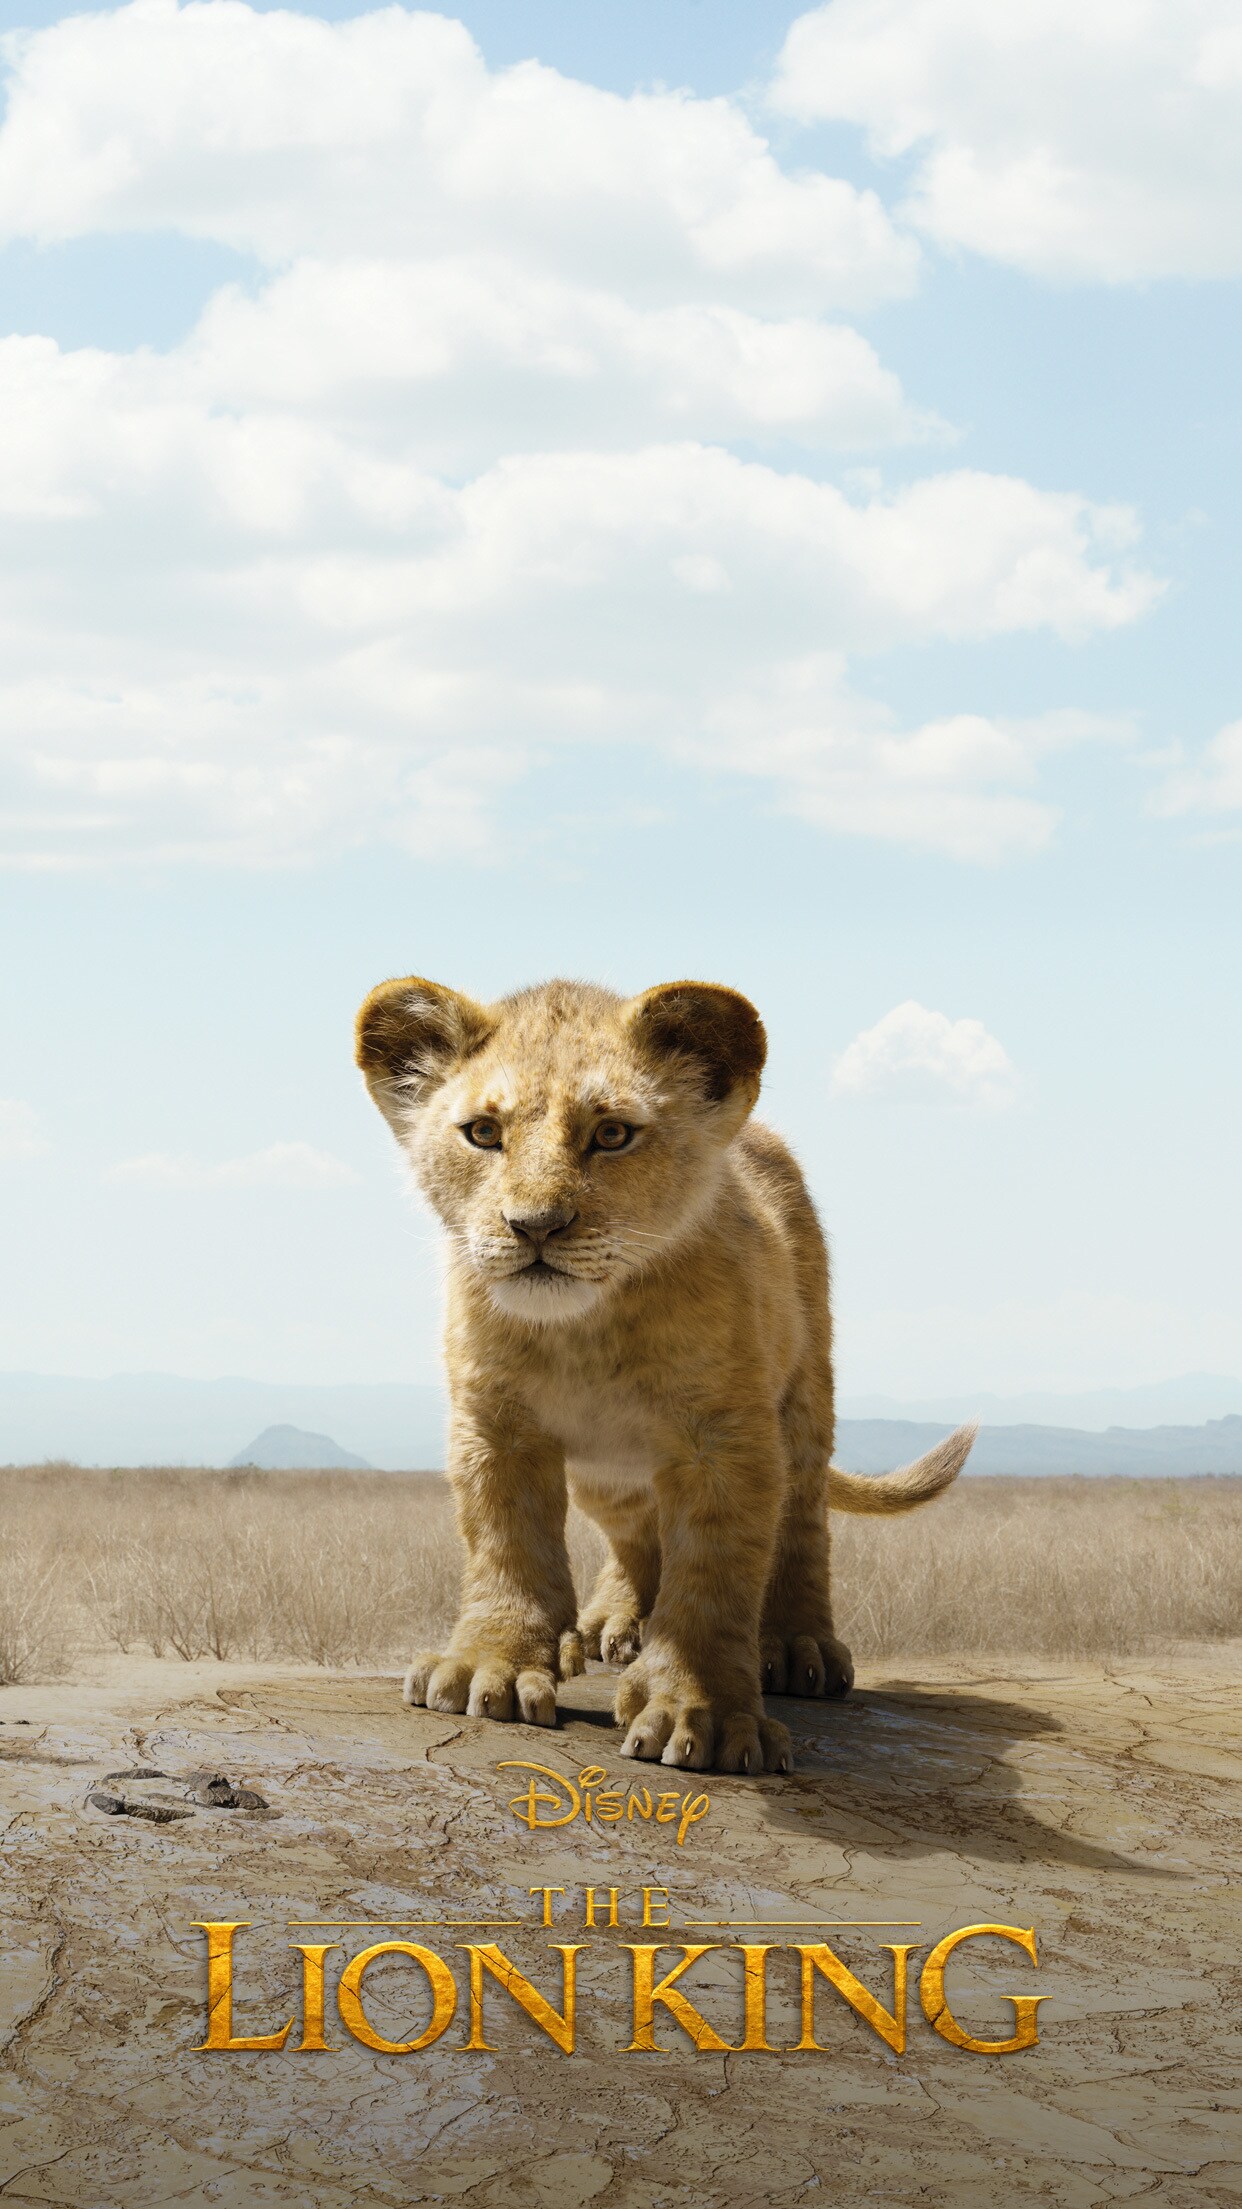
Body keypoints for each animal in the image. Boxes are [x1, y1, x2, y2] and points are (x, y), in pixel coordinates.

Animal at [356, 975, 975, 1774]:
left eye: (612, 1134)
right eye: (483, 1133)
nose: (534, 1226)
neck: (585, 1330)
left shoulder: (723, 1436)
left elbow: (714, 1571)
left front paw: (701, 1710)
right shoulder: (495, 1423)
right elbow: (507, 1543)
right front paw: (490, 1663)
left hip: (804, 1402)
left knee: (800, 1523)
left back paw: (797, 1647)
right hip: (605, 1475)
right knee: (636, 1532)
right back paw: (610, 1624)